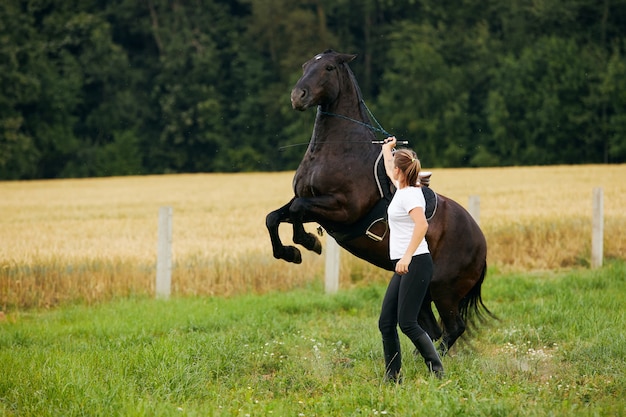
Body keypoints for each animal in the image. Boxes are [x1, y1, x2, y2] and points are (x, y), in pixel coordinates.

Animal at [266, 49, 490, 352]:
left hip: (444, 290)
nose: (297, 96)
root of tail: (481, 244)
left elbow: (297, 211)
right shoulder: (313, 204)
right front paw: (290, 252)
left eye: (327, 68)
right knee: (431, 328)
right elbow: (276, 217)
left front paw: (307, 242)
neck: (337, 151)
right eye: (305, 65)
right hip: (424, 292)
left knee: (453, 328)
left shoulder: (341, 210)